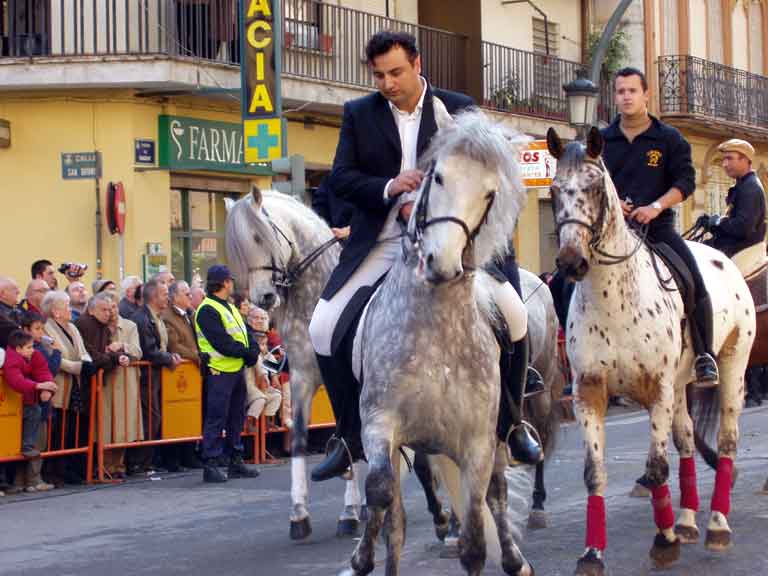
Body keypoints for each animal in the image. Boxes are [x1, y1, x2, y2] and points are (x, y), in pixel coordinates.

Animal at [544, 128, 756, 572]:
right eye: (553, 191)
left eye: (593, 187)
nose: (570, 262)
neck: (613, 300)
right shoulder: (590, 391)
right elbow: (596, 473)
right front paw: (593, 553)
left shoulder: (656, 389)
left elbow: (657, 468)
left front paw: (664, 540)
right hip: (680, 386)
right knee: (688, 439)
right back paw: (688, 519)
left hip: (733, 366)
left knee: (727, 440)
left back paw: (716, 524)